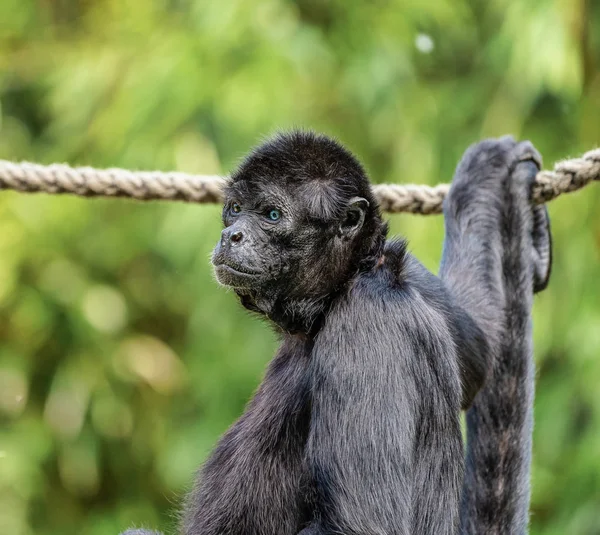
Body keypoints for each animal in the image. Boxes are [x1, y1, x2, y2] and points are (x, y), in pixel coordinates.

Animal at [122, 131, 552, 535]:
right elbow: (480, 348)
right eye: (236, 210)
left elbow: (359, 526)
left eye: (271, 214)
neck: (348, 282)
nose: (232, 235)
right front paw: (490, 175)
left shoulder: (367, 323)